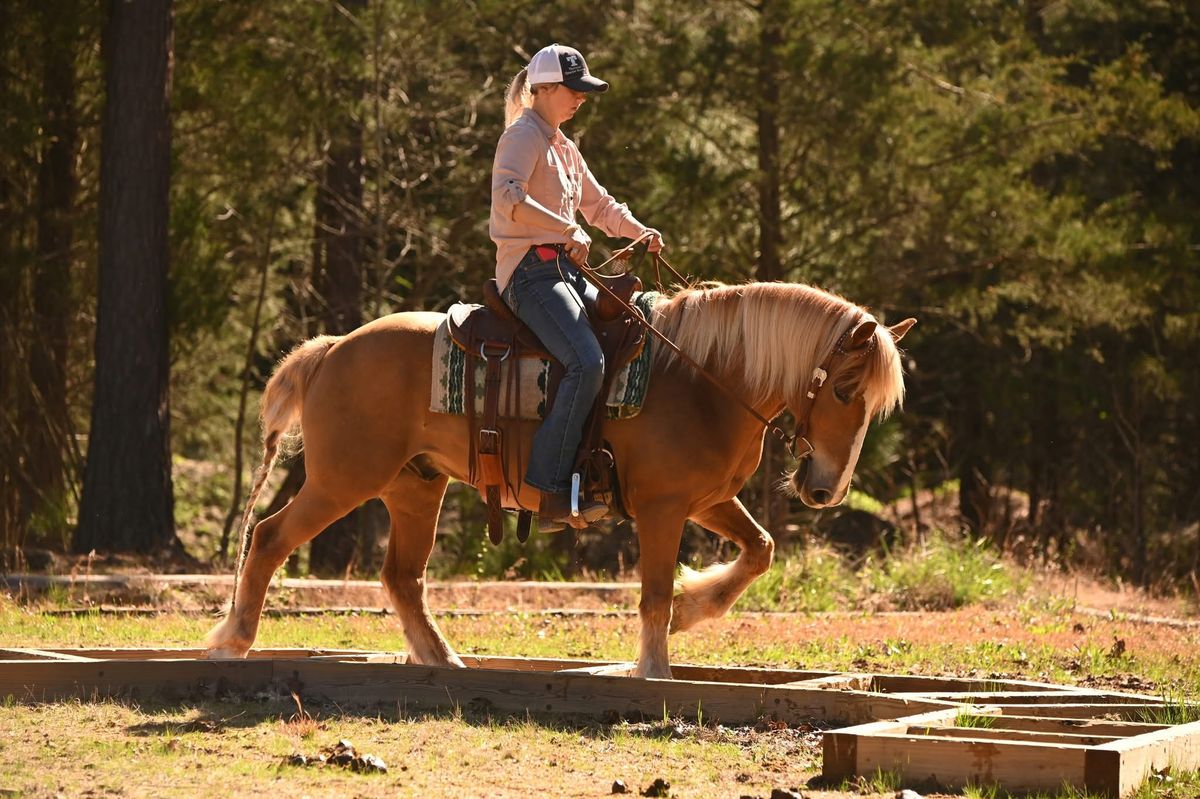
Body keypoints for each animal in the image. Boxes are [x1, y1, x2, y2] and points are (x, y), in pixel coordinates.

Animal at [208, 277, 916, 676]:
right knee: (269, 538)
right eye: (845, 388)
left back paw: (442, 659)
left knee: (402, 577)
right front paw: (655, 670)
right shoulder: (663, 509)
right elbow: (653, 593)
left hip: (414, 487)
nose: (825, 488)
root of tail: (332, 348)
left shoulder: (707, 500)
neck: (706, 378)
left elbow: (759, 550)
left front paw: (693, 611)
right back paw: (233, 641)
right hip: (342, 481)